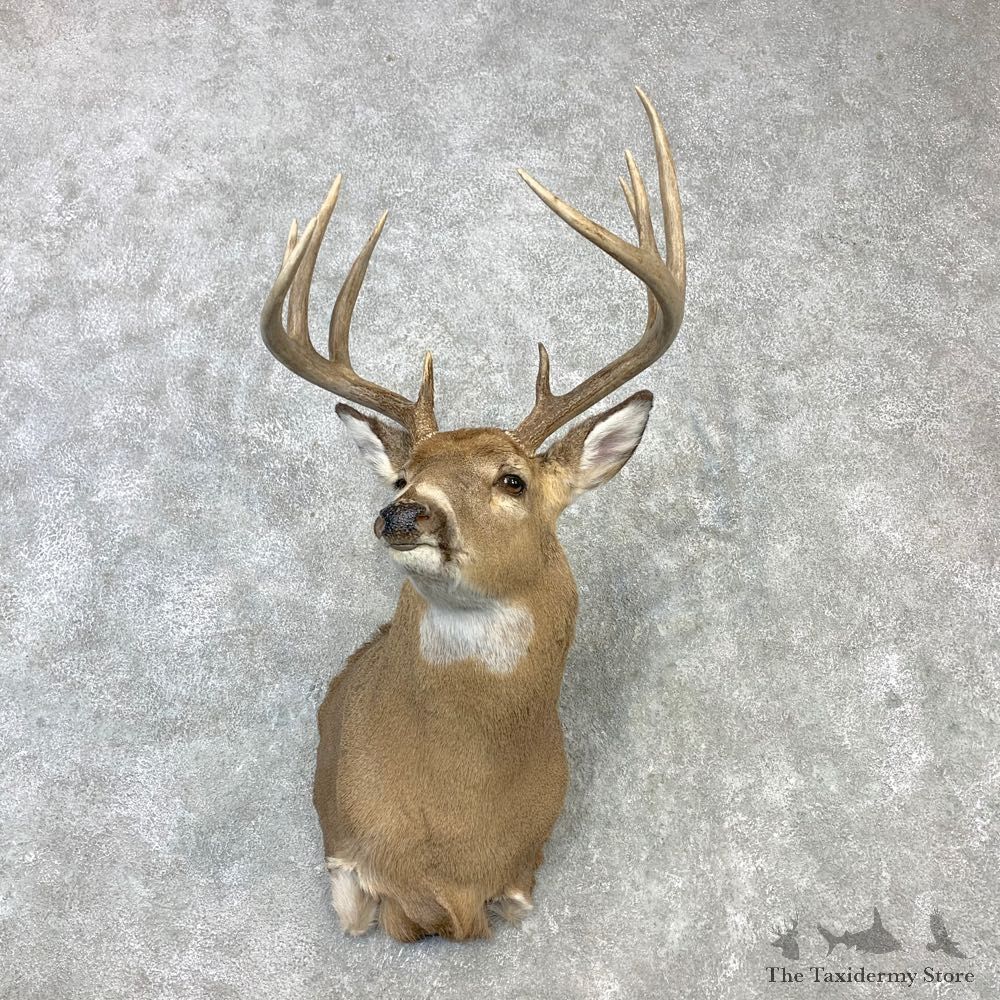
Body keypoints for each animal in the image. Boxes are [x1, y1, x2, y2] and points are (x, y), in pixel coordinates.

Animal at [259, 86, 686, 942]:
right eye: (402, 474)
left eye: (512, 480)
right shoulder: (347, 858)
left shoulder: (522, 872)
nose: (405, 513)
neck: (451, 838)